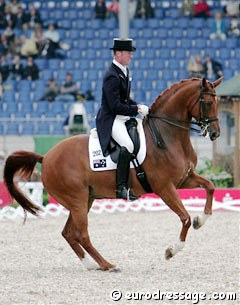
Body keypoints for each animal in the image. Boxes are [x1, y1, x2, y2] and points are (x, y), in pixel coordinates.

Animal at [3, 77, 222, 270]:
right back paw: (107, 265)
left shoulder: (184, 179)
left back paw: (91, 265)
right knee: (81, 234)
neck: (167, 136)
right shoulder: (164, 187)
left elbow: (210, 187)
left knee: (68, 233)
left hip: (85, 198)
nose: (215, 133)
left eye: (218, 102)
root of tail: (46, 156)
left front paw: (201, 220)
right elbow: (184, 218)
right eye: (208, 103)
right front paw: (172, 250)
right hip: (77, 199)